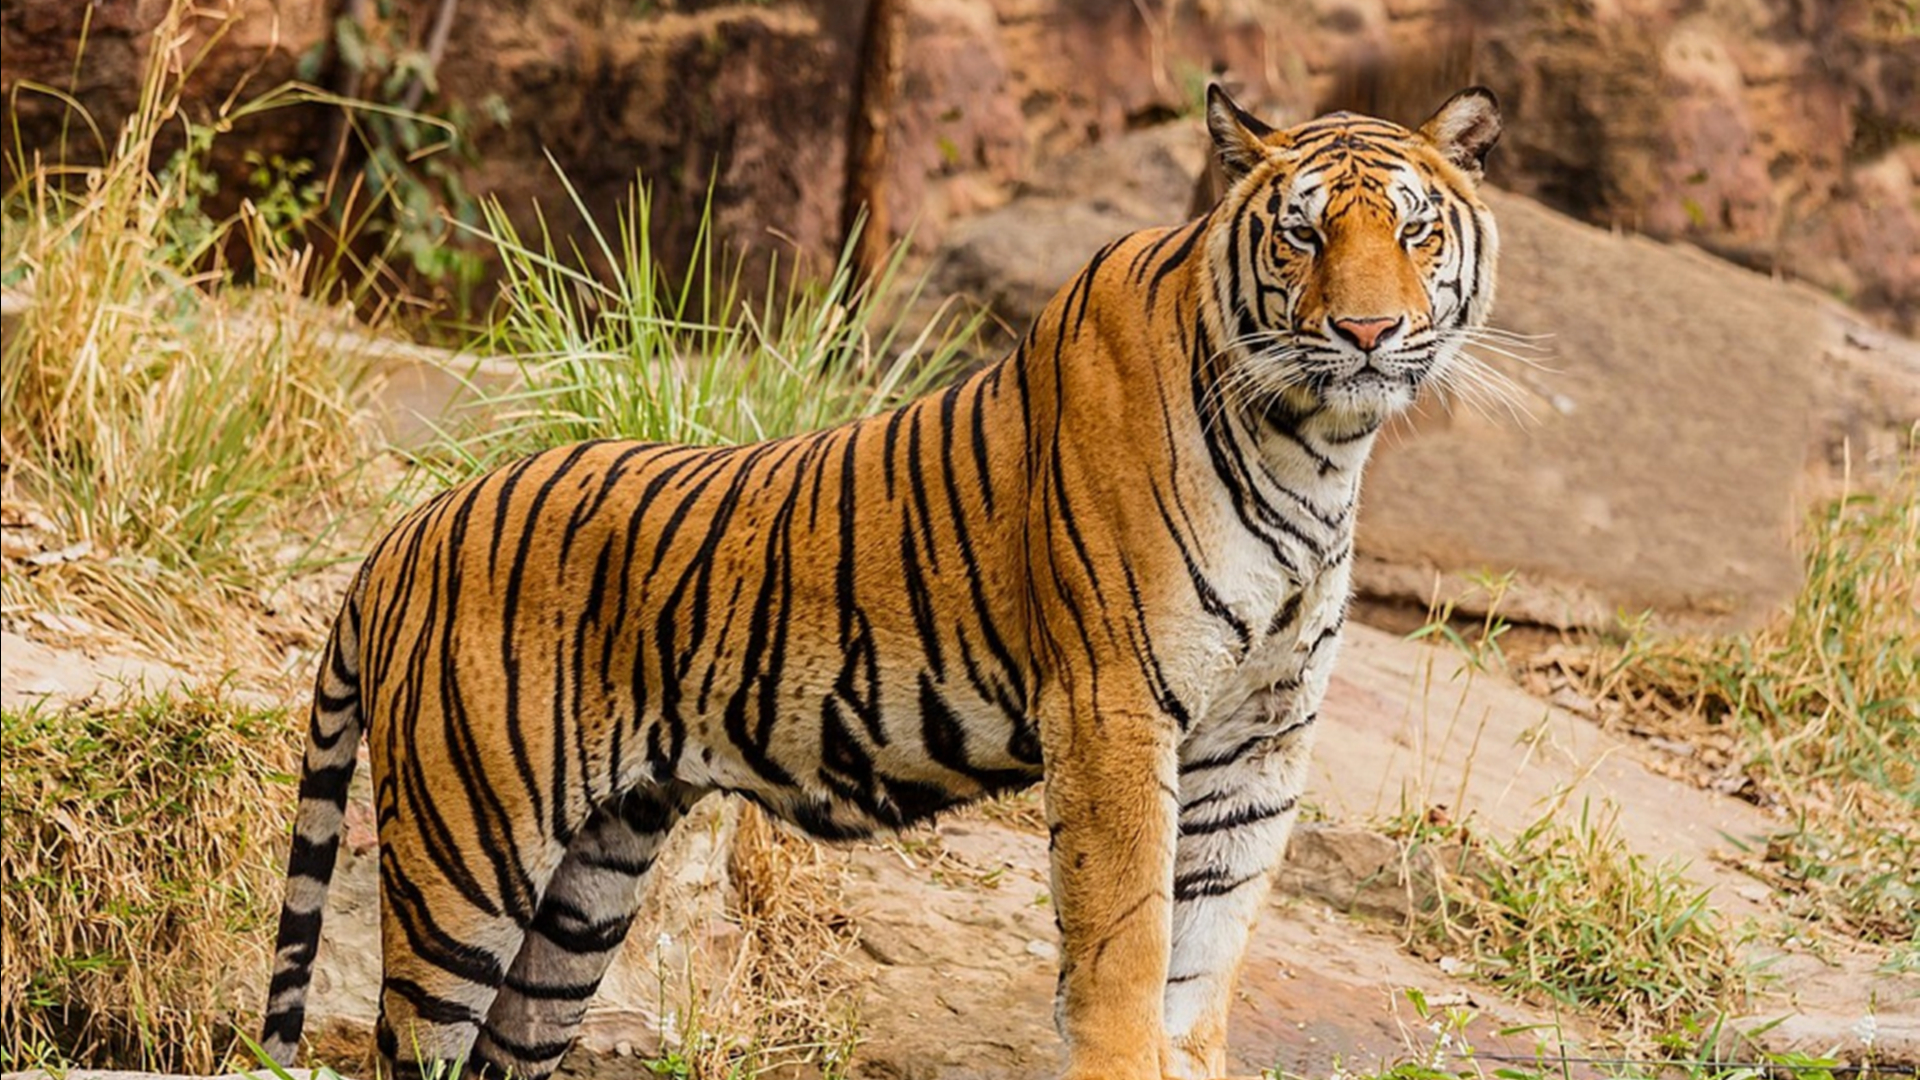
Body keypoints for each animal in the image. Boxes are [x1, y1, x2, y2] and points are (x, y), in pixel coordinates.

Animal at [263, 85, 1505, 1076]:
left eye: (1414, 229)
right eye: (1301, 234)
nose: (1367, 330)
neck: (1318, 448)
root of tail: (407, 530)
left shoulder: (1260, 739)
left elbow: (1206, 955)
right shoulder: (1113, 707)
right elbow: (1128, 942)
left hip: (588, 890)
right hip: (465, 858)